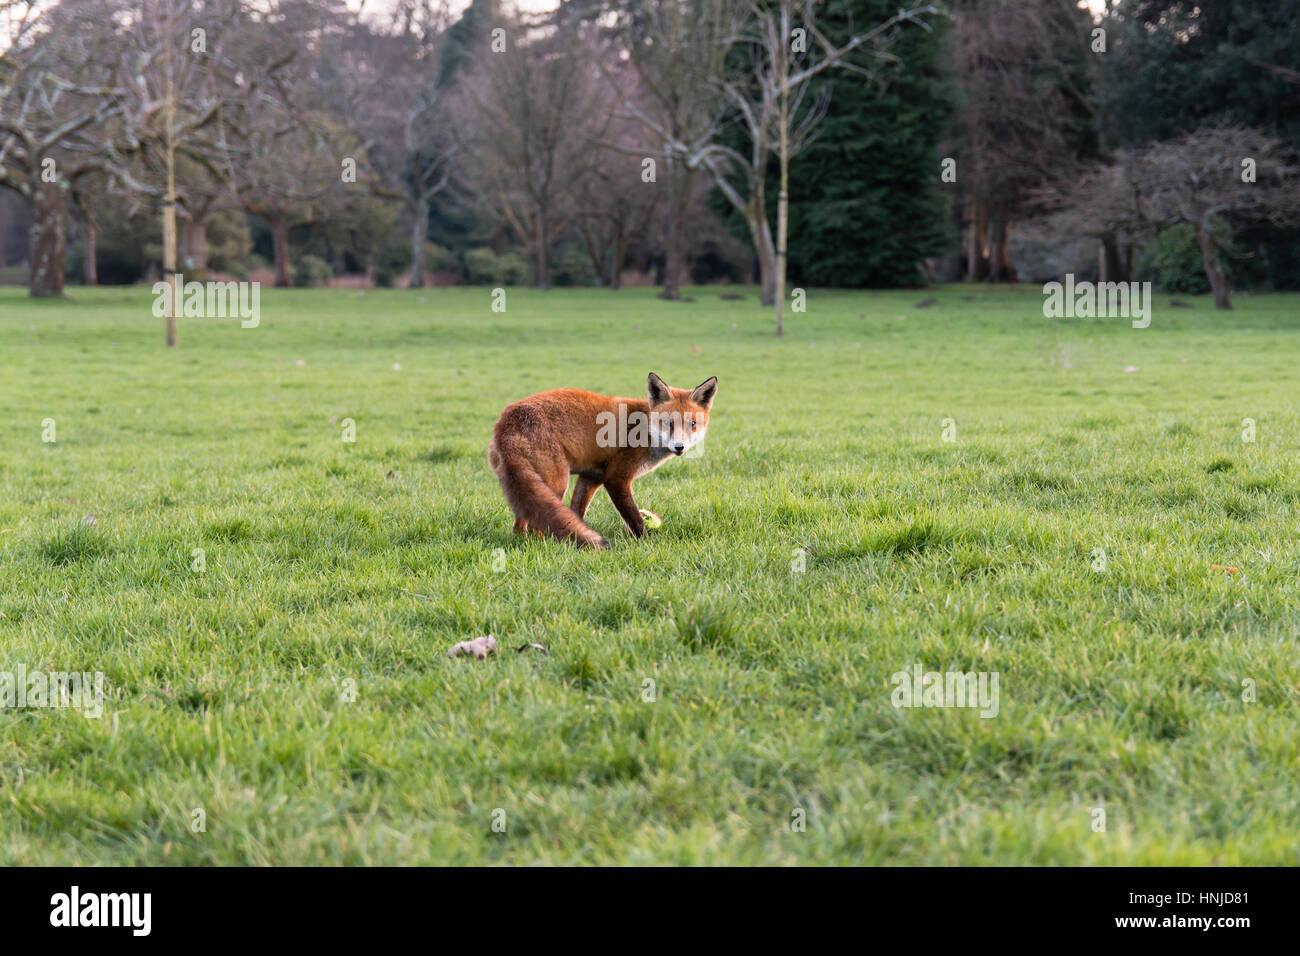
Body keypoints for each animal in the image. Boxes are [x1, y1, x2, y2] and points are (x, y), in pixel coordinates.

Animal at [488, 371, 718, 549]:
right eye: (668, 423)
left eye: (692, 424)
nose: (680, 447)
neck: (644, 429)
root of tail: (507, 420)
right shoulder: (616, 478)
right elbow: (634, 518)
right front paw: (645, 542)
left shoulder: (591, 477)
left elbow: (576, 513)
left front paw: (579, 537)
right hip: (556, 482)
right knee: (536, 523)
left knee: (520, 523)